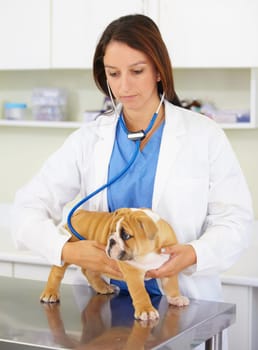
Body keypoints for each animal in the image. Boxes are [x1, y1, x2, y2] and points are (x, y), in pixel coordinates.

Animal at [40, 208, 189, 320]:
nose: (111, 240)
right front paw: (146, 310)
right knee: (56, 272)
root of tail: (79, 213)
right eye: (111, 231)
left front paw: (176, 298)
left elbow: (172, 285)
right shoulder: (133, 273)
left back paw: (103, 287)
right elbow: (140, 292)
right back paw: (50, 293)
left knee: (89, 272)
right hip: (66, 252)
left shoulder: (169, 267)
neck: (147, 254)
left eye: (126, 236)